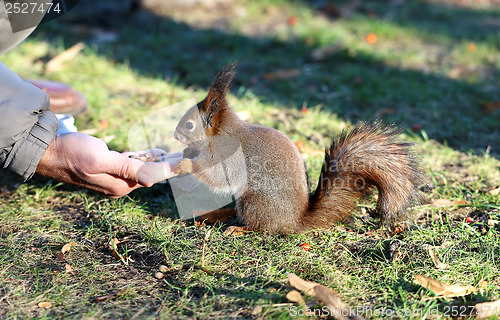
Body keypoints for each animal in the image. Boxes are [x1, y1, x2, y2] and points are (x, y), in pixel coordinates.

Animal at [173, 63, 426, 234]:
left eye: (190, 124)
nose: (175, 136)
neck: (221, 133)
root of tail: (295, 221)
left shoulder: (228, 156)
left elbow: (216, 175)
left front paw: (186, 163)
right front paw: (187, 154)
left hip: (253, 203)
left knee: (262, 228)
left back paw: (239, 229)